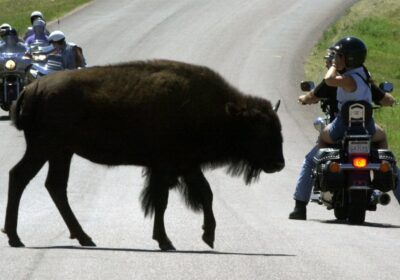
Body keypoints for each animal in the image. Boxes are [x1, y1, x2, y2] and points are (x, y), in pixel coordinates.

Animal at [3, 59, 284, 249]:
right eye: (260, 130)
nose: (279, 164)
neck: (223, 113)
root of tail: (30, 89)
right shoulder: (167, 167)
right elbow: (162, 201)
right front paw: (166, 241)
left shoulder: (186, 166)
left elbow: (205, 193)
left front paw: (208, 236)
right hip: (44, 149)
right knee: (20, 176)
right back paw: (15, 237)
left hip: (61, 153)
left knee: (55, 186)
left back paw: (84, 237)